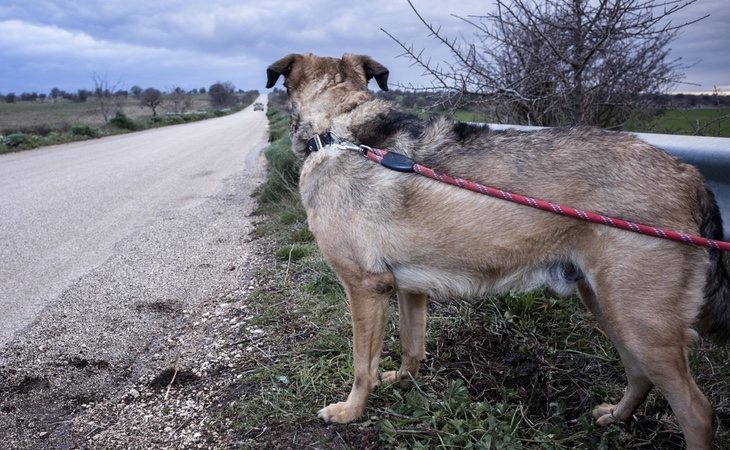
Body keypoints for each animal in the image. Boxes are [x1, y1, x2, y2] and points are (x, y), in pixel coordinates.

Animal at [266, 51, 728, 446]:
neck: (336, 128)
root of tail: (689, 174)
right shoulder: (409, 288)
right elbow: (412, 347)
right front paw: (405, 382)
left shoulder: (365, 287)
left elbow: (363, 365)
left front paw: (351, 412)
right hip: (609, 307)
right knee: (640, 376)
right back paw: (616, 416)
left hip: (641, 322)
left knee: (697, 412)